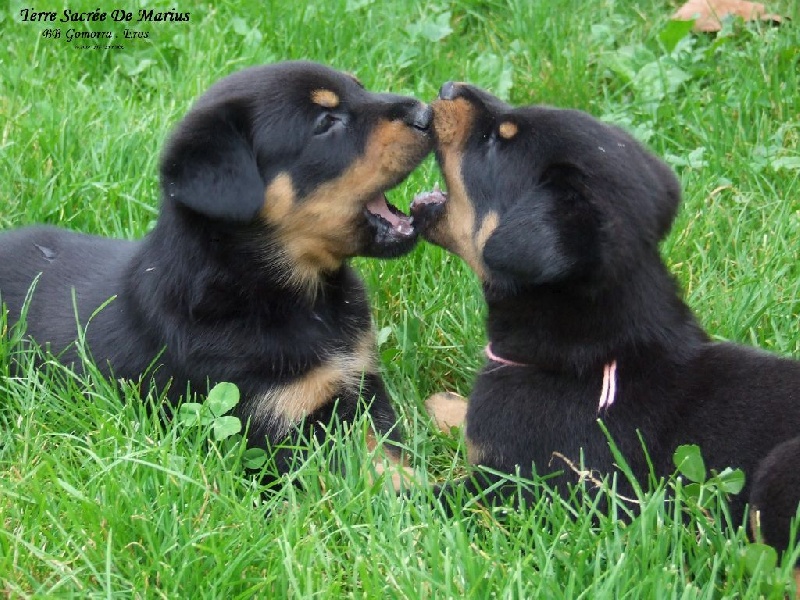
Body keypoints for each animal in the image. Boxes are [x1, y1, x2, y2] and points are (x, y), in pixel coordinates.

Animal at [0, 62, 434, 482]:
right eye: (326, 122)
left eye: (358, 86)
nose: (427, 113)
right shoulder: (283, 421)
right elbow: (372, 477)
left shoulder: (362, 384)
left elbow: (389, 455)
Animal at [412, 83, 800, 556]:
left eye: (495, 143)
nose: (448, 88)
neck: (589, 354)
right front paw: (442, 404)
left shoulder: (511, 489)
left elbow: (417, 494)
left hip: (780, 469)